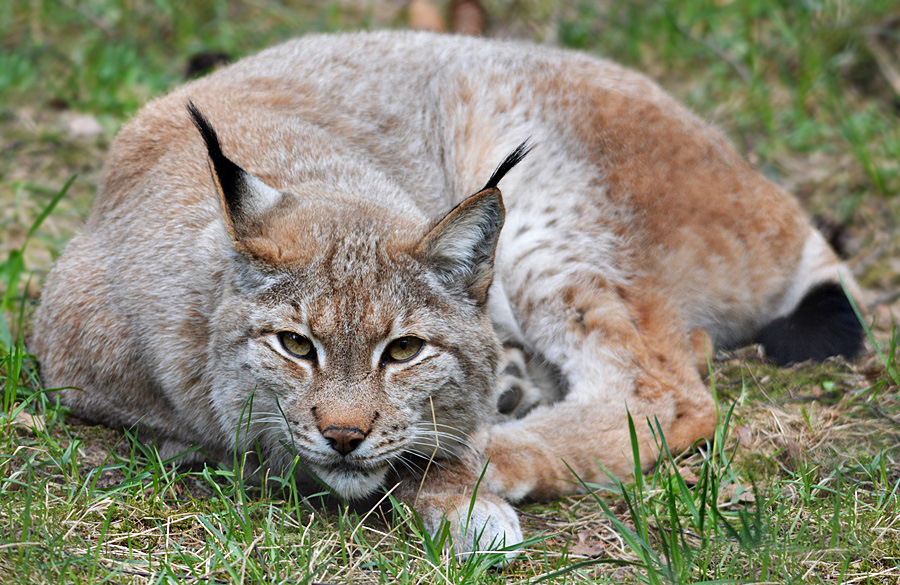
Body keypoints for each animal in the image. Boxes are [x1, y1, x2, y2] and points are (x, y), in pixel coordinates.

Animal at [33, 30, 864, 560]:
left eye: (403, 350)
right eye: (296, 345)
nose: (344, 434)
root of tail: (766, 189)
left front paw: (446, 478)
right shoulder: (73, 368)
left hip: (553, 206)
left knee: (665, 385)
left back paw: (488, 452)